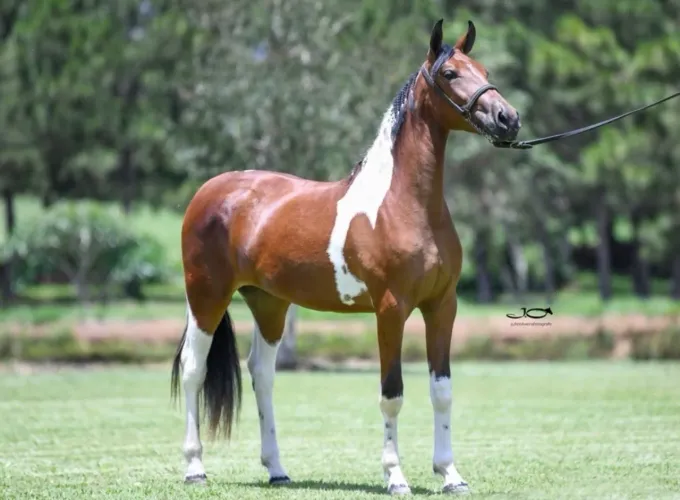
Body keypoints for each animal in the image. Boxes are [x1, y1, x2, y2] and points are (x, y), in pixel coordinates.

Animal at [171, 18, 520, 495]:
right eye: (450, 74)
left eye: (484, 70)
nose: (508, 119)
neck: (403, 204)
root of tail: (210, 191)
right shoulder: (390, 310)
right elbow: (392, 394)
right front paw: (395, 476)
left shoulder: (442, 306)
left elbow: (441, 390)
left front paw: (451, 474)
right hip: (206, 296)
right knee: (193, 368)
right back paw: (195, 467)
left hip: (269, 303)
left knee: (263, 374)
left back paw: (277, 469)